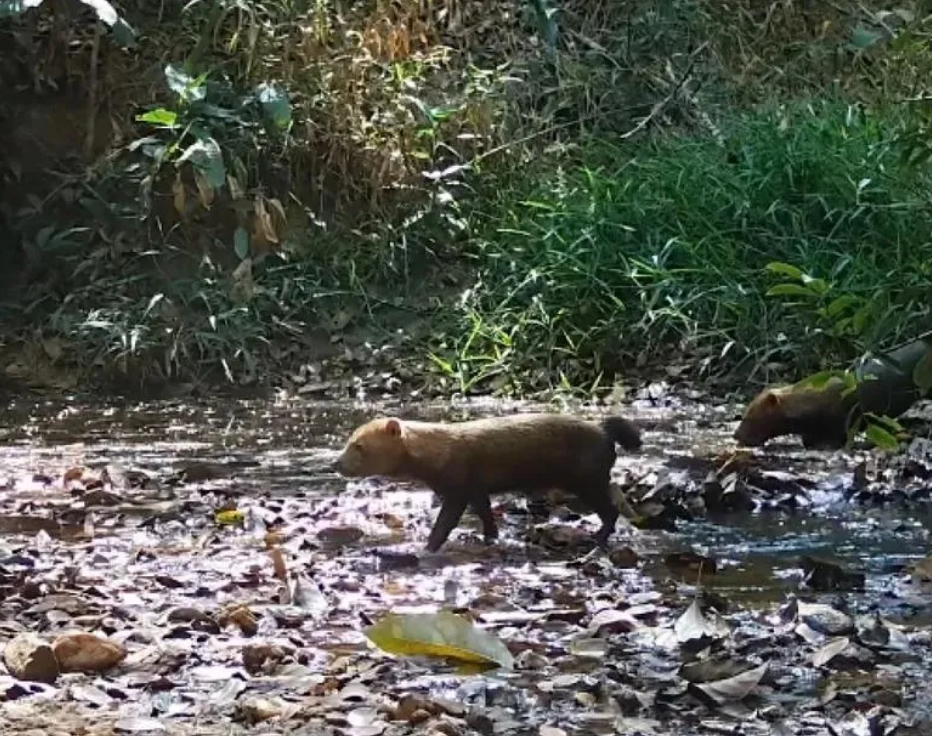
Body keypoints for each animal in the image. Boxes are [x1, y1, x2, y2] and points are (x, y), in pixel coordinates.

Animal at [332, 414, 644, 552]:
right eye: (349, 441)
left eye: (358, 445)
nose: (334, 463)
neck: (438, 452)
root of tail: (604, 430)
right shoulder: (476, 488)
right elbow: (485, 514)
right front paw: (491, 537)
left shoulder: (458, 487)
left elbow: (446, 522)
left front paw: (427, 546)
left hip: (588, 479)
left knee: (610, 510)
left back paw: (598, 538)